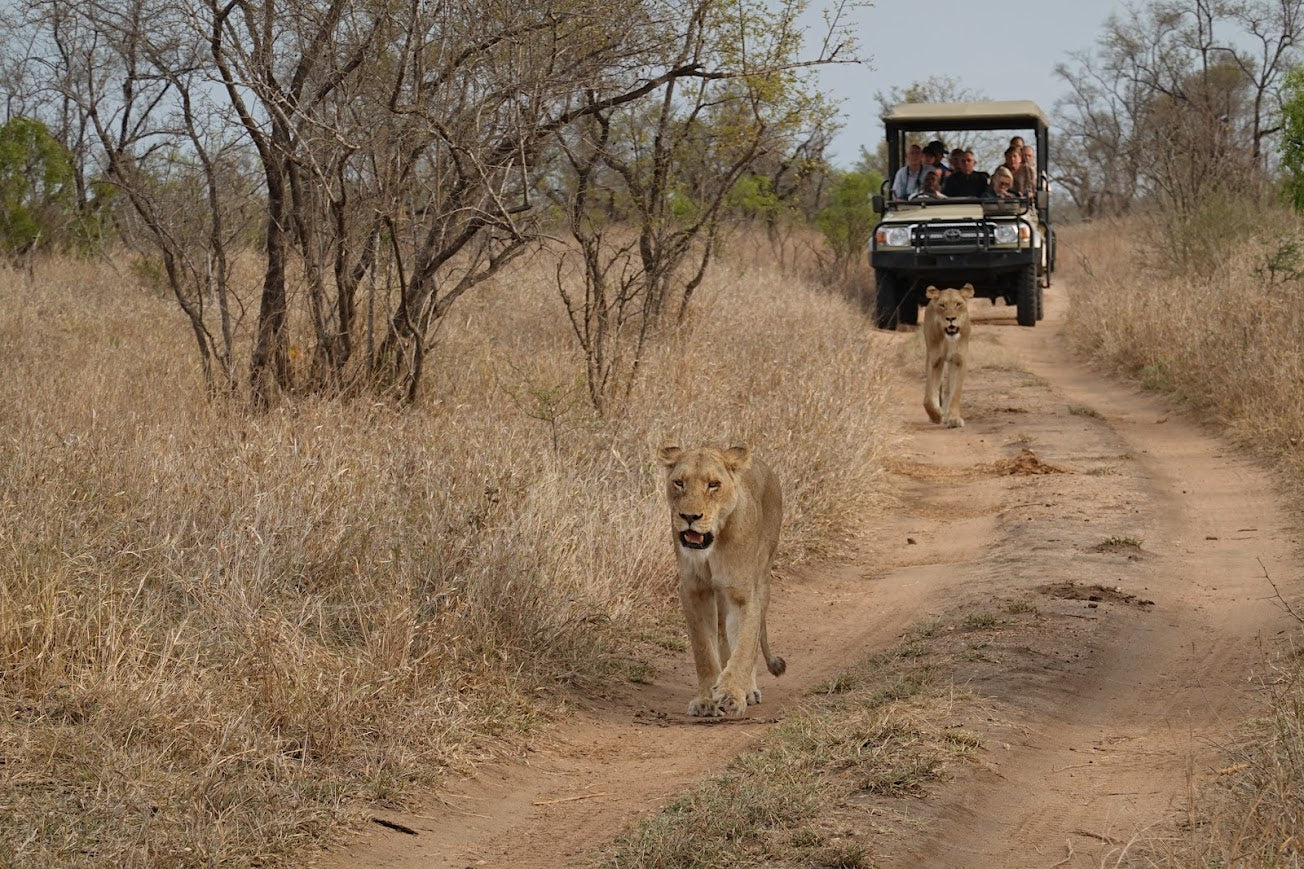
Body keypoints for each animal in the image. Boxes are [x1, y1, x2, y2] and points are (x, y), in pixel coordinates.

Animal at [662, 443, 782, 715]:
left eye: (713, 484)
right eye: (679, 483)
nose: (689, 516)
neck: (712, 547)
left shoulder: (744, 594)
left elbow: (745, 646)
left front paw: (731, 694)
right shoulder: (693, 591)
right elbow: (704, 650)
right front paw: (706, 699)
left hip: (763, 578)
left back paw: (748, 689)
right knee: (723, 636)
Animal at [923, 283, 975, 427]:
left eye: (958, 304)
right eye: (942, 305)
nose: (951, 319)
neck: (948, 339)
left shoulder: (959, 360)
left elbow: (955, 392)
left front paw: (953, 419)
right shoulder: (934, 360)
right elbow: (928, 397)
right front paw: (936, 416)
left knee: (948, 389)